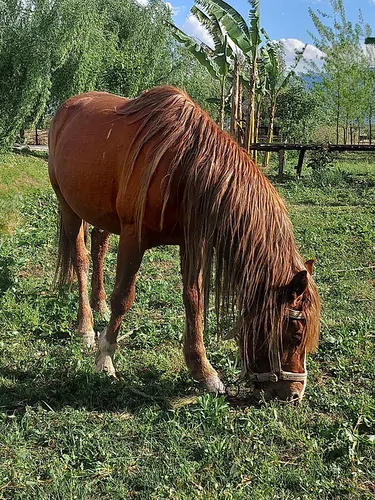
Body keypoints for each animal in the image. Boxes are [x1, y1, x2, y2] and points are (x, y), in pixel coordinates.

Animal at [49, 84, 320, 400]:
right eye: (295, 333)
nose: (294, 394)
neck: (183, 167)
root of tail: (67, 107)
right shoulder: (133, 239)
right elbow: (124, 298)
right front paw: (105, 358)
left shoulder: (192, 244)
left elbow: (194, 301)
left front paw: (203, 371)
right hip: (69, 208)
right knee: (80, 258)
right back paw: (86, 326)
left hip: (101, 214)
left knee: (99, 246)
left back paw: (98, 305)